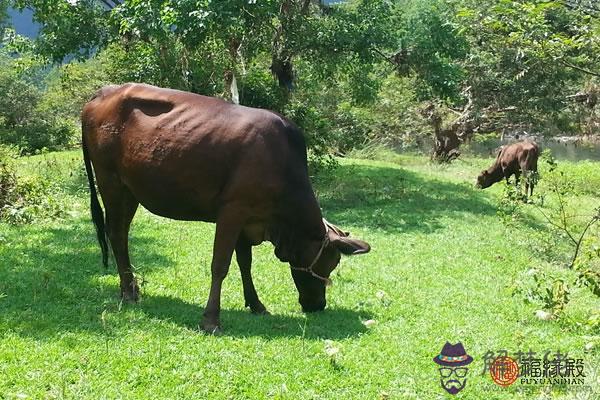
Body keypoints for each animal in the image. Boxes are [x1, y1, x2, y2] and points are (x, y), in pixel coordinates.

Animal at [81, 83, 370, 332]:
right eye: (330, 263)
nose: (318, 306)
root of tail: (103, 92)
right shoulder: (233, 211)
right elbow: (220, 265)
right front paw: (211, 319)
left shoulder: (247, 219)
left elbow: (245, 263)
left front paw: (256, 304)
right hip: (111, 182)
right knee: (116, 233)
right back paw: (128, 292)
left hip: (130, 191)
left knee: (120, 233)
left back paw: (130, 287)